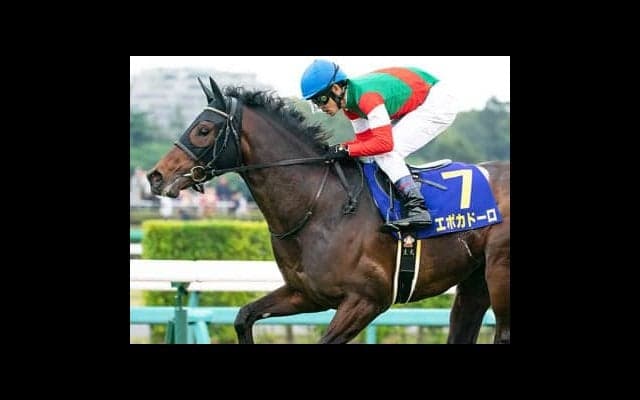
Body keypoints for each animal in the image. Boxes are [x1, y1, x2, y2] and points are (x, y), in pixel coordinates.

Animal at [146, 77, 510, 344]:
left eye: (203, 130)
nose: (155, 176)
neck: (320, 206)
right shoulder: (305, 293)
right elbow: (243, 316)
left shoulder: (366, 300)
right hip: (473, 283)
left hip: (499, 274)